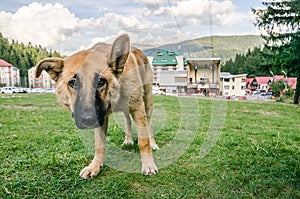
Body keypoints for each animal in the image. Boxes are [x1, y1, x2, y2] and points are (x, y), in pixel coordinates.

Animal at [34, 34, 158, 179]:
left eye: (100, 81)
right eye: (73, 82)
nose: (88, 120)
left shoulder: (137, 107)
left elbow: (143, 141)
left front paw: (148, 164)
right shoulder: (101, 118)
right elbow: (99, 145)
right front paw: (95, 166)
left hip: (147, 101)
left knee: (149, 124)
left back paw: (153, 143)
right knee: (127, 120)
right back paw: (128, 139)